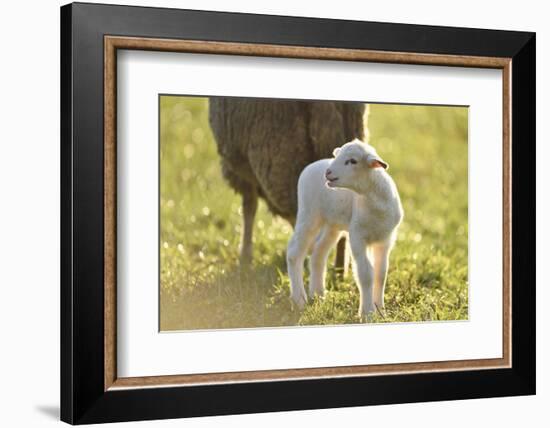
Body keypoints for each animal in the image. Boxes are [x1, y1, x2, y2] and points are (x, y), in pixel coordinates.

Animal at [286, 138, 404, 318]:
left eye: (352, 161)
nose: (328, 172)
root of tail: (312, 165)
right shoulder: (357, 235)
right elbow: (366, 274)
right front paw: (367, 313)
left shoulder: (385, 239)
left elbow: (380, 274)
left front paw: (381, 311)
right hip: (309, 214)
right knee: (294, 253)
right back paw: (299, 300)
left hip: (332, 225)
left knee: (318, 253)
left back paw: (318, 294)